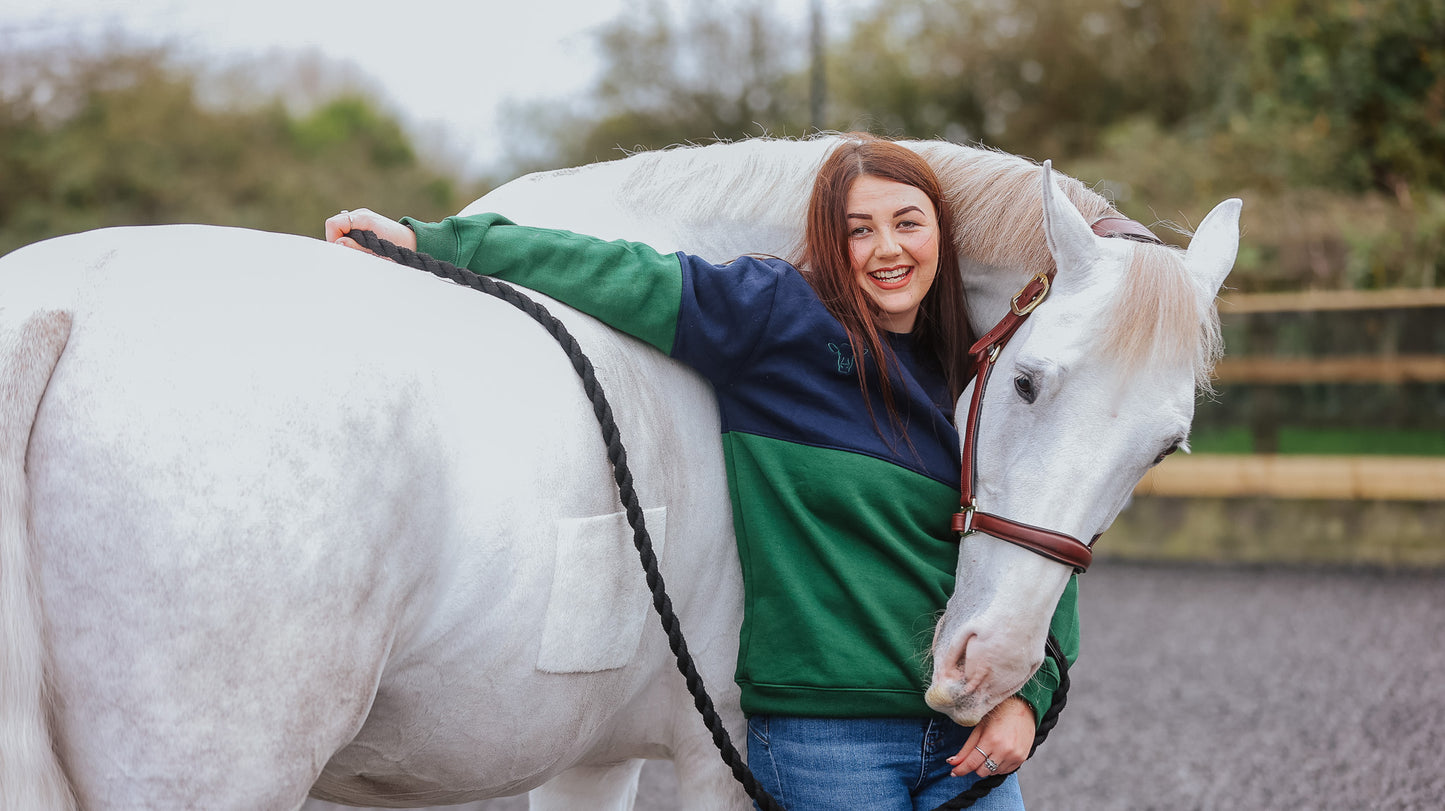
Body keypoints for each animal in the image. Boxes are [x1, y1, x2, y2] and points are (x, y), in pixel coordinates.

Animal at [2, 135, 1242, 803]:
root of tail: (61, 312)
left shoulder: (584, 754)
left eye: (1162, 445)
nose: (987, 663)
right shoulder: (718, 757)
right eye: (1026, 381)